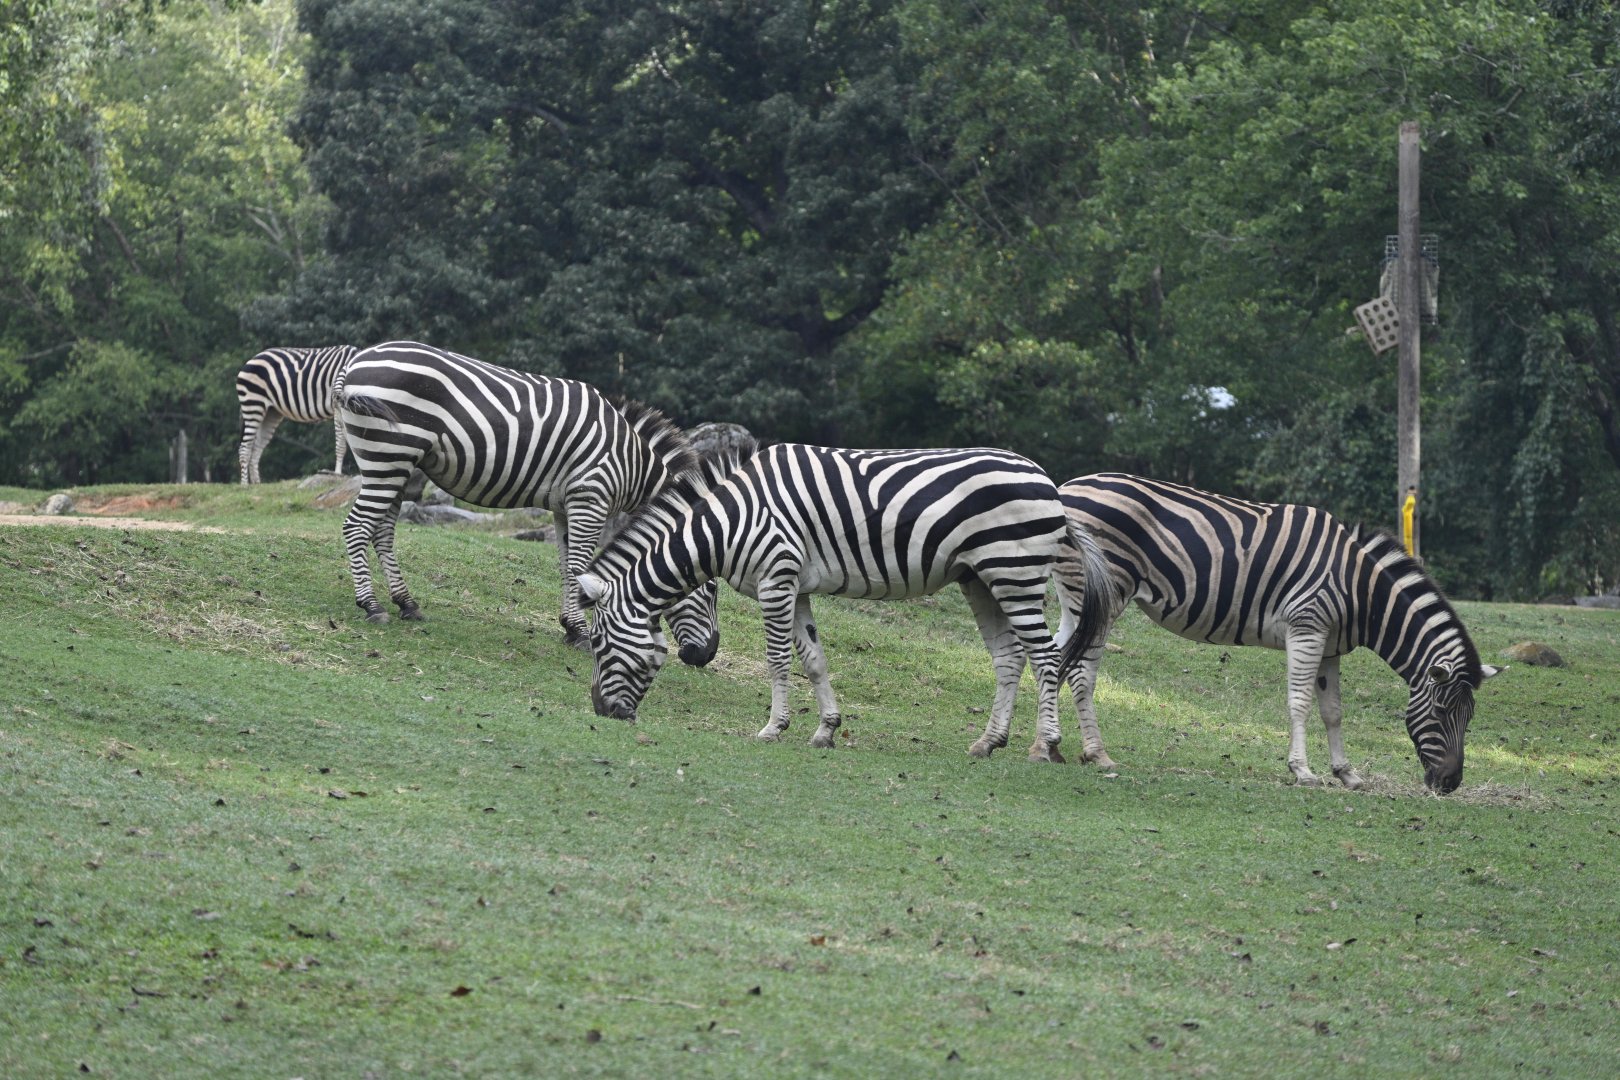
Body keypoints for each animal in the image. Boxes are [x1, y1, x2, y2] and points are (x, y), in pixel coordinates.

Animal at [236, 346, 358, 483]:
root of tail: (252, 359)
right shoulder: (338, 408)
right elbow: (341, 443)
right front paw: (337, 473)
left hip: (270, 412)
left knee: (256, 448)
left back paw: (256, 485)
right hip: (253, 404)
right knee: (245, 448)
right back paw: (245, 485)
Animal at [334, 341, 720, 660]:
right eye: (710, 589)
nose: (706, 656)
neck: (630, 461)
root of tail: (356, 362)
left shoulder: (566, 506)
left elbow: (566, 567)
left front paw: (570, 627)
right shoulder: (590, 499)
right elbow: (579, 567)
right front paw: (583, 634)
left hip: (396, 464)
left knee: (381, 532)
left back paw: (406, 603)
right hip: (389, 455)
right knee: (356, 527)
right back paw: (371, 606)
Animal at [576, 444, 1112, 761]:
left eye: (599, 644)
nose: (601, 711)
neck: (728, 522)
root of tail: (1048, 481)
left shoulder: (776, 579)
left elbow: (777, 660)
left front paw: (773, 727)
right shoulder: (797, 587)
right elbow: (813, 659)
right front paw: (826, 730)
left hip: (1014, 571)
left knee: (1045, 657)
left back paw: (1045, 745)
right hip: (981, 578)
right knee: (1008, 656)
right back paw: (988, 741)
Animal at [1056, 473, 1499, 794]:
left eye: (1470, 717)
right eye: (1441, 712)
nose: (1450, 784)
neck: (1361, 590)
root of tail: (1067, 487)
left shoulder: (1330, 647)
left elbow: (1333, 711)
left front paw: (1346, 773)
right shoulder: (1308, 627)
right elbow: (1300, 702)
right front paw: (1302, 770)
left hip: (1076, 596)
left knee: (1053, 656)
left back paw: (1049, 747)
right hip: (1106, 592)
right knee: (1079, 669)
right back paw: (1096, 753)